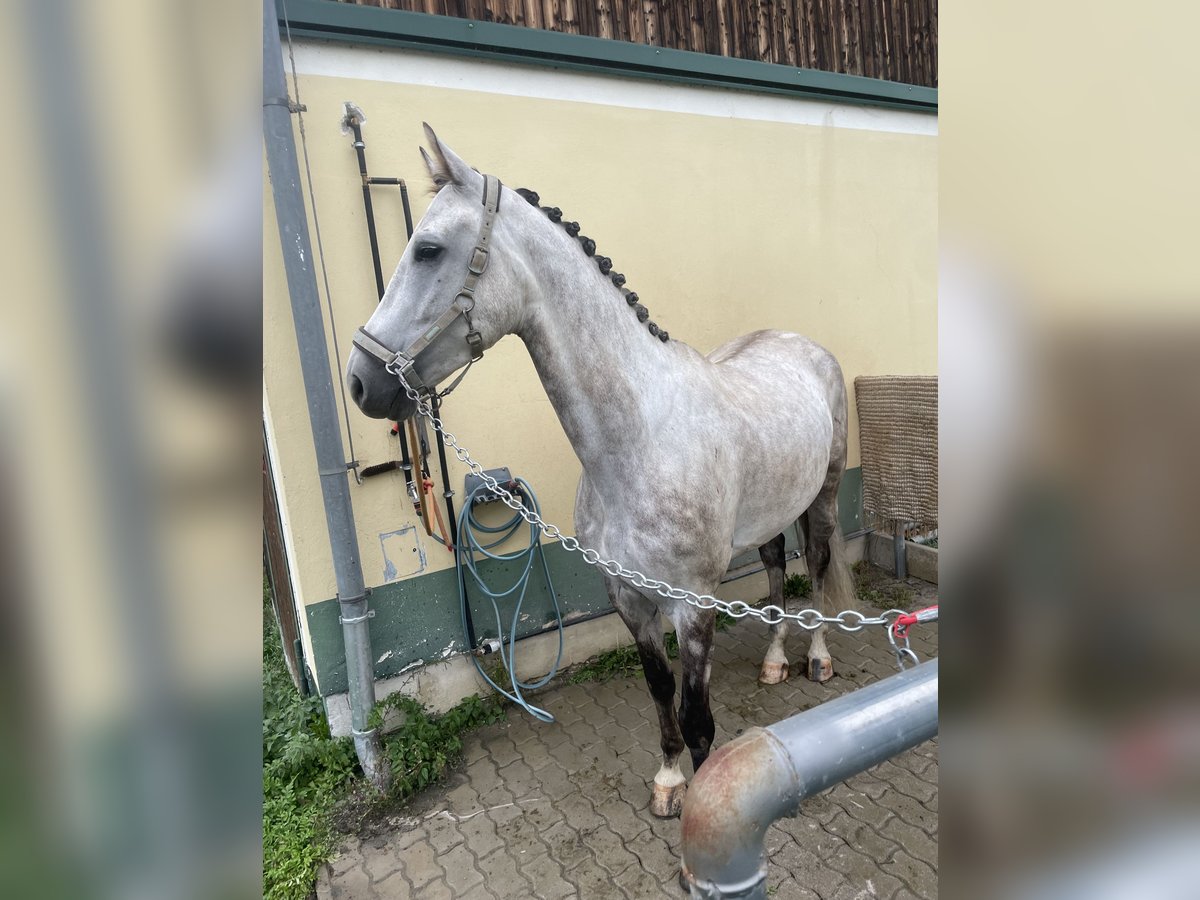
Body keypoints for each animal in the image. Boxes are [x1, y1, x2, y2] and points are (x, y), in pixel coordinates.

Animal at [345, 128, 854, 825]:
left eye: (428, 249)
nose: (360, 382)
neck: (639, 442)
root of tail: (804, 345)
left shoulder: (692, 604)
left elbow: (697, 714)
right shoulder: (629, 596)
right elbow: (661, 690)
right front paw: (668, 781)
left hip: (824, 494)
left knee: (822, 564)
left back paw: (819, 659)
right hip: (772, 512)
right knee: (779, 564)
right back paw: (775, 663)